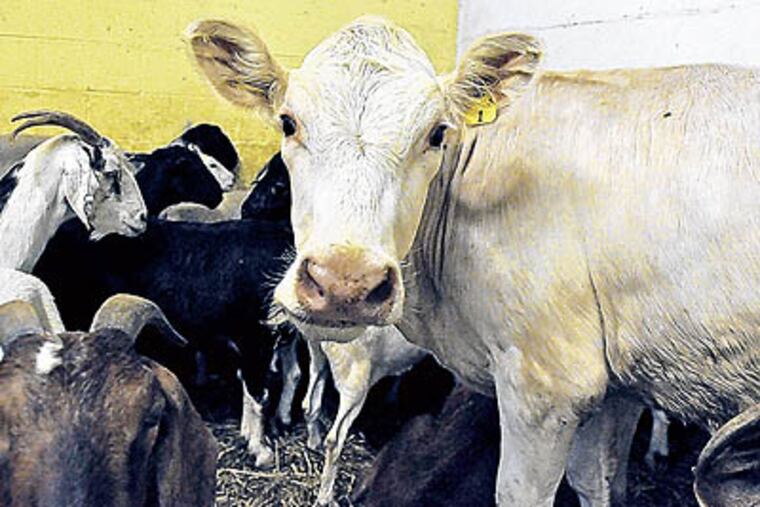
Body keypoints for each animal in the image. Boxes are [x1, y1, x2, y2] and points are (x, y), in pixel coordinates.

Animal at [187, 16, 760, 506]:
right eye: (288, 122)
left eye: (437, 133)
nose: (345, 283)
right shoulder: (614, 381)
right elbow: (596, 483)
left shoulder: (547, 384)